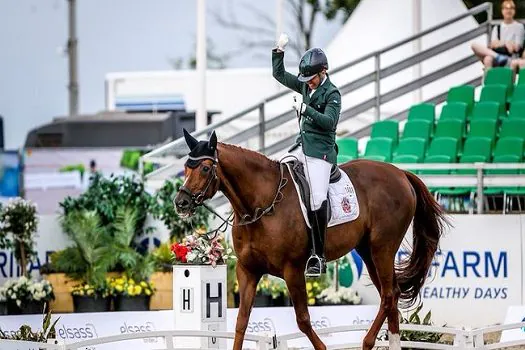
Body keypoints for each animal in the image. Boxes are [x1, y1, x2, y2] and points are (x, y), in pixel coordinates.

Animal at [174, 129, 448, 350]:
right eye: (186, 168)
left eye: (205, 168)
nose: (181, 203)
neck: (261, 205)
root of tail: (400, 173)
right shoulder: (248, 271)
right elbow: (241, 322)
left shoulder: (293, 270)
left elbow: (303, 320)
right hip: (368, 251)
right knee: (390, 295)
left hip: (383, 247)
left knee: (389, 295)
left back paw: (367, 342)